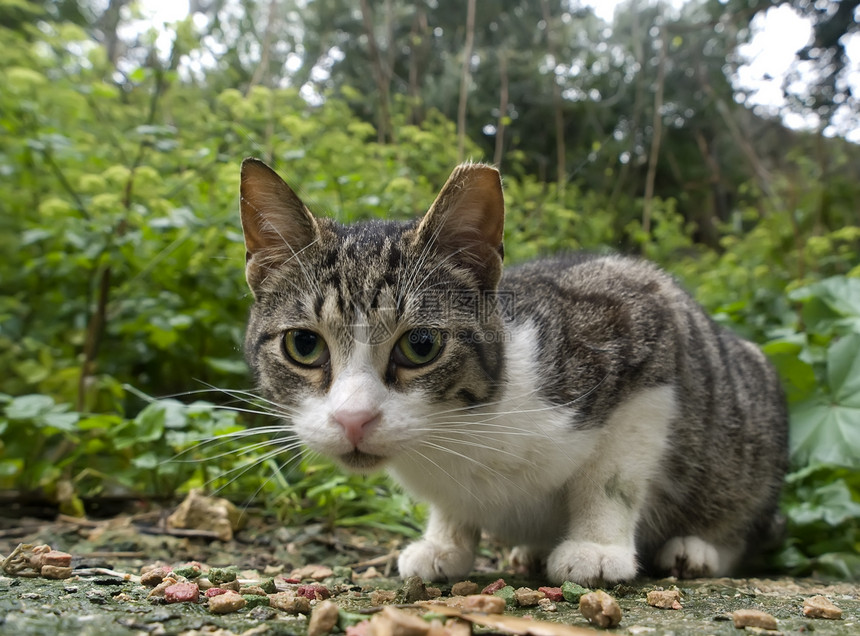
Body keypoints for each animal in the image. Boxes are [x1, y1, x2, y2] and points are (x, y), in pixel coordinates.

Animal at [237, 159, 788, 588]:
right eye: (304, 345)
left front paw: (596, 546)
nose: (353, 419)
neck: (461, 433)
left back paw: (696, 549)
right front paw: (446, 542)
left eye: (420, 346)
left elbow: (613, 476)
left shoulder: (645, 328)